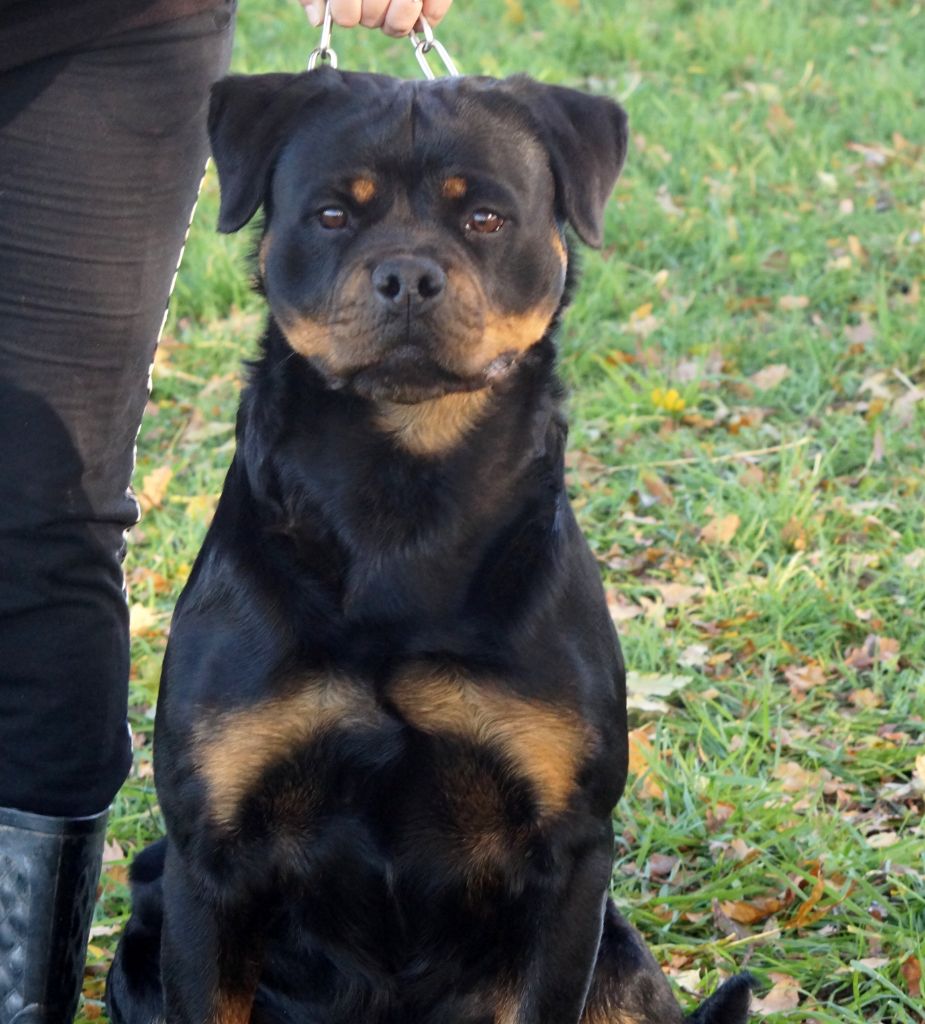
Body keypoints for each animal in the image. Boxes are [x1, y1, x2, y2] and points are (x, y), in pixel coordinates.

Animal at [104, 68, 758, 1019]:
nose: (408, 273)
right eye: (332, 214)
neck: (401, 500)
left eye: (483, 218)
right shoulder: (209, 859)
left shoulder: (569, 862)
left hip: (619, 957)